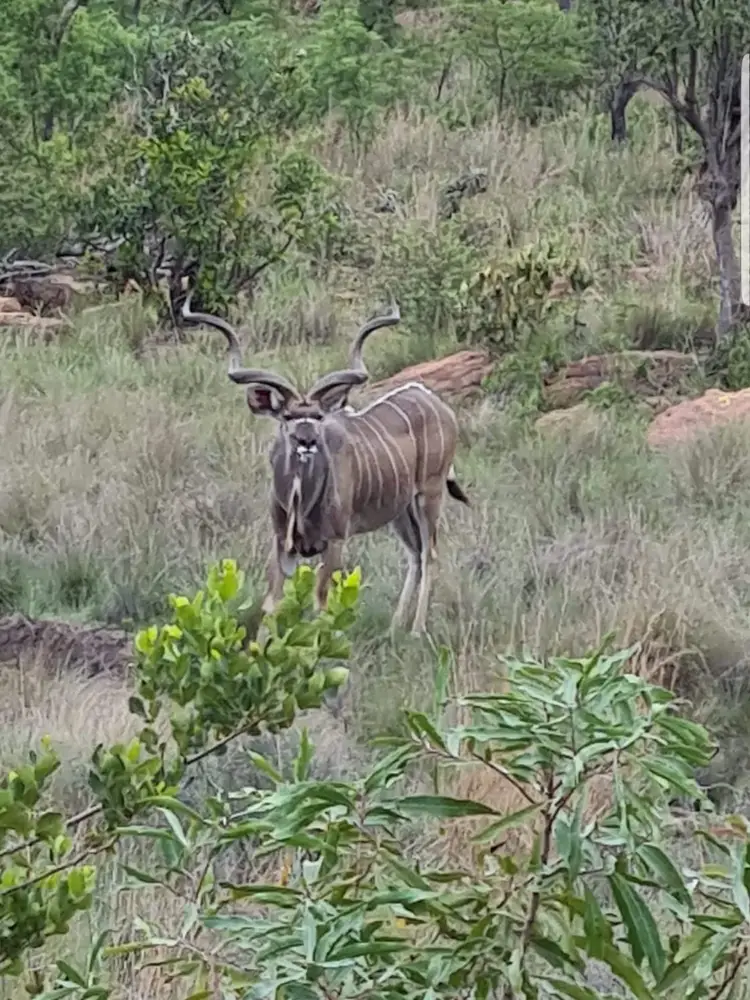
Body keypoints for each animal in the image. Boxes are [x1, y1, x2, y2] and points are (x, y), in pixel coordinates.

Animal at [182, 292, 469, 635]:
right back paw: (394, 627)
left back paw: (415, 631)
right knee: (414, 554)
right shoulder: (282, 543)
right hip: (401, 509)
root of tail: (438, 404)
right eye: (288, 416)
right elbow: (271, 603)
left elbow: (321, 602)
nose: (306, 440)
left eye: (318, 416)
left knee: (430, 553)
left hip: (430, 494)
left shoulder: (334, 541)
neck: (299, 499)